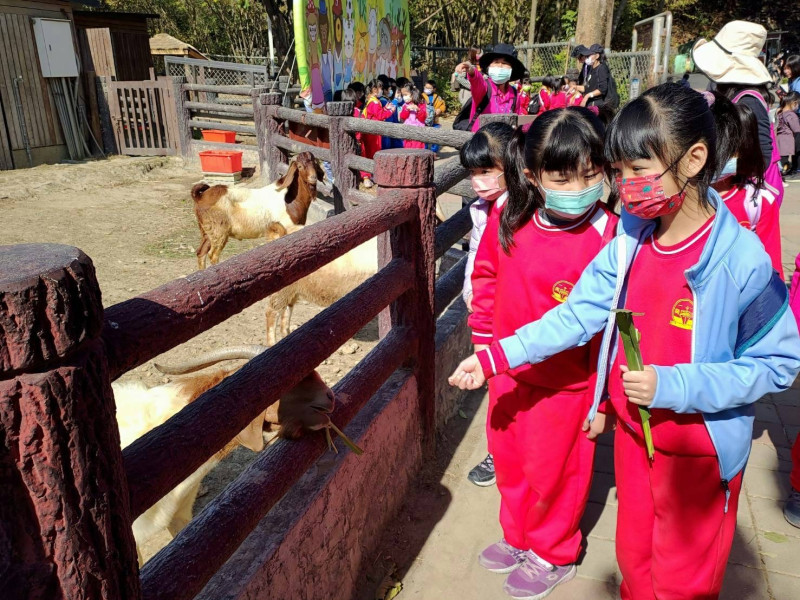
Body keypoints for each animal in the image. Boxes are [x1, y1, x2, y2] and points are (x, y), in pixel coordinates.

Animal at [192, 152, 324, 270]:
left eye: (314, 164)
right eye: (300, 166)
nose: (313, 178)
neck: (289, 199)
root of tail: (201, 196)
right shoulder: (286, 229)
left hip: (207, 231)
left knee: (201, 252)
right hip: (219, 231)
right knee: (213, 255)